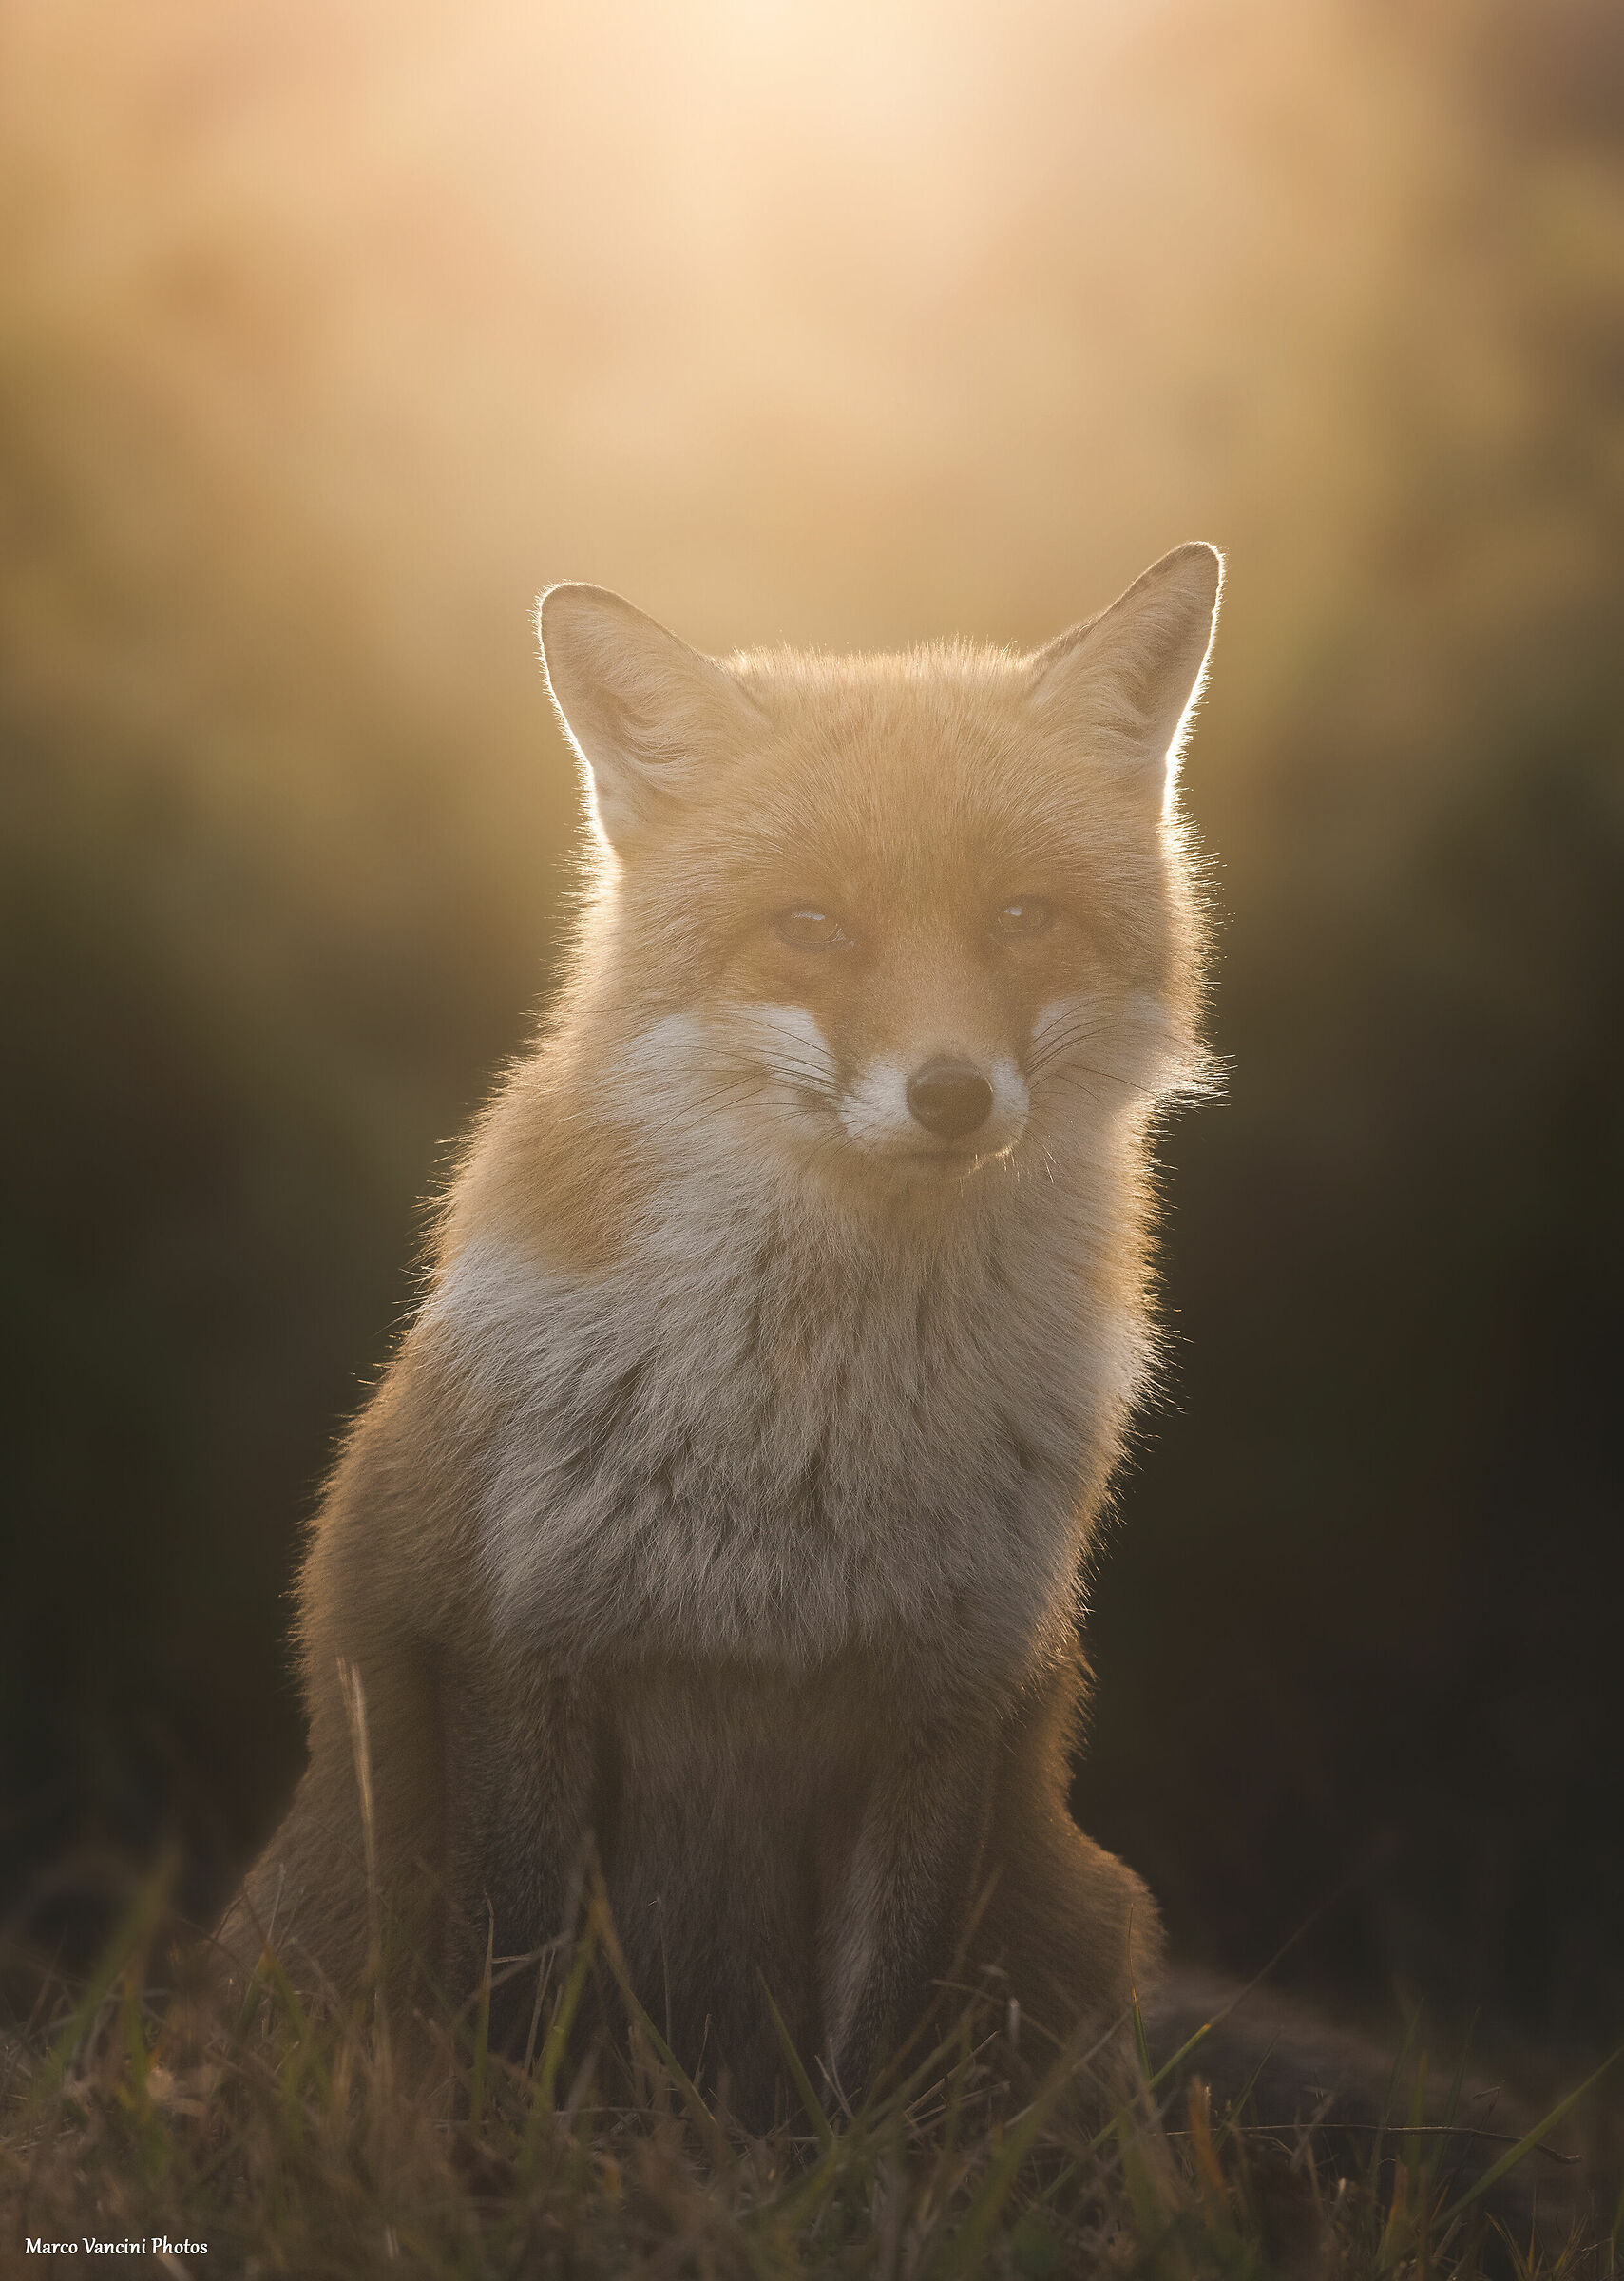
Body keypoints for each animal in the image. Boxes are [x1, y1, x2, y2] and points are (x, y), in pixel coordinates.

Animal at [219, 540, 1224, 2124]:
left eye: (1021, 917)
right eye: (810, 925)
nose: (951, 1095)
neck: (805, 1446)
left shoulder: (943, 1698)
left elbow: (871, 2062)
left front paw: (856, 2177)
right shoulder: (517, 1652)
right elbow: (515, 1997)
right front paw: (508, 2162)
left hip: (1081, 1920)